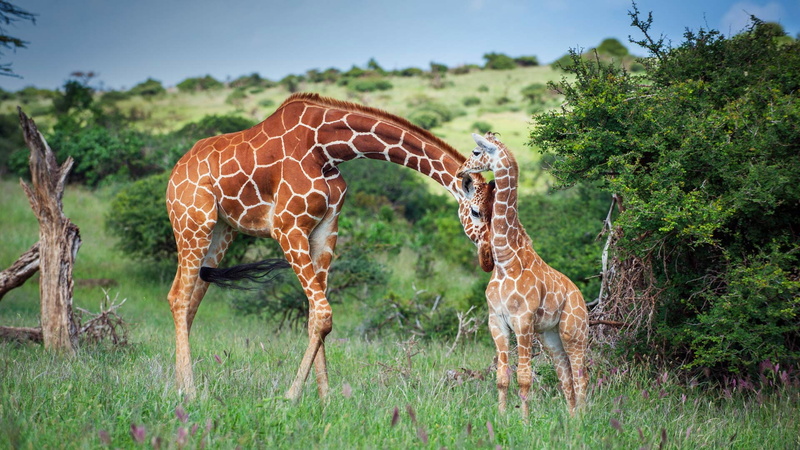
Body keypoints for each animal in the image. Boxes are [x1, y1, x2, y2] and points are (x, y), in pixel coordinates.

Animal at [166, 93, 489, 400]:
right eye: (476, 212)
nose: (488, 258)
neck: (327, 149)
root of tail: (175, 170)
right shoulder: (288, 227)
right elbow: (323, 313)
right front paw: (291, 396)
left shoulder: (326, 228)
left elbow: (315, 316)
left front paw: (325, 399)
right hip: (192, 223)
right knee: (179, 297)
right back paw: (190, 391)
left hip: (222, 231)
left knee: (189, 299)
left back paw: (179, 385)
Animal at [457, 133, 589, 416]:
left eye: (476, 151)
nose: (462, 170)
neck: (506, 259)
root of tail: (581, 296)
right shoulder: (497, 321)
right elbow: (502, 377)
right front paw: (501, 416)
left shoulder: (524, 321)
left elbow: (525, 377)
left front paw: (525, 421)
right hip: (551, 335)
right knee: (565, 376)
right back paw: (572, 419)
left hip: (574, 331)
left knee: (581, 375)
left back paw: (583, 418)